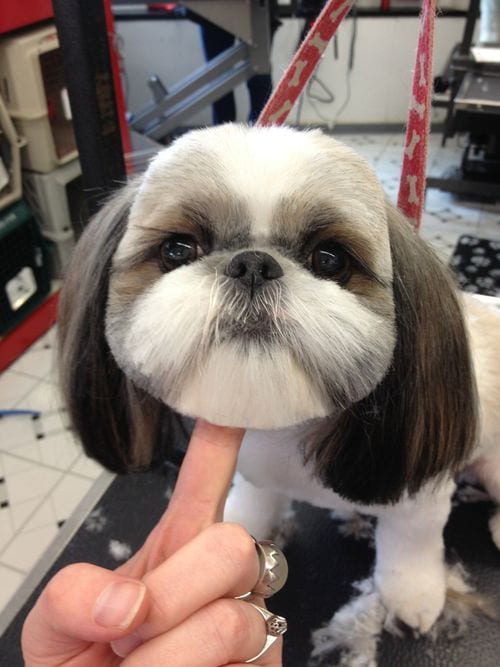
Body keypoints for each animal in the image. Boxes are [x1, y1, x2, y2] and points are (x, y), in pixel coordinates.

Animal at [58, 125, 500, 640]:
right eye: (177, 249)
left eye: (330, 258)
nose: (253, 264)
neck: (286, 431)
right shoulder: (256, 470)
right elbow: (255, 499)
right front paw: (237, 524)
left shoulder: (418, 492)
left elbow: (410, 545)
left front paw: (414, 597)